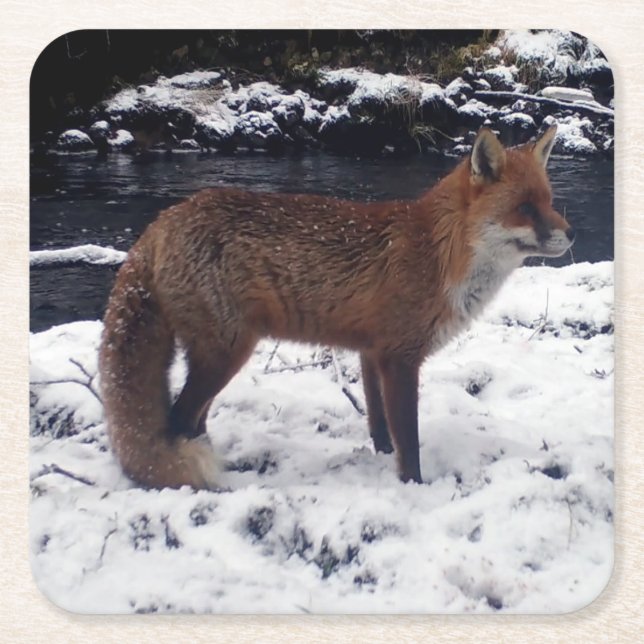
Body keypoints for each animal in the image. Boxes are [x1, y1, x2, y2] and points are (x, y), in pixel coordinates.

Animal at [99, 125, 574, 490]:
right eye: (524, 208)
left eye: (550, 202)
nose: (571, 235)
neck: (440, 252)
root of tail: (161, 221)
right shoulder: (400, 358)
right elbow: (409, 440)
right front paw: (414, 487)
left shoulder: (371, 352)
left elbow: (380, 426)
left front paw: (382, 459)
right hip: (225, 354)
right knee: (178, 421)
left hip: (217, 358)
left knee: (194, 422)